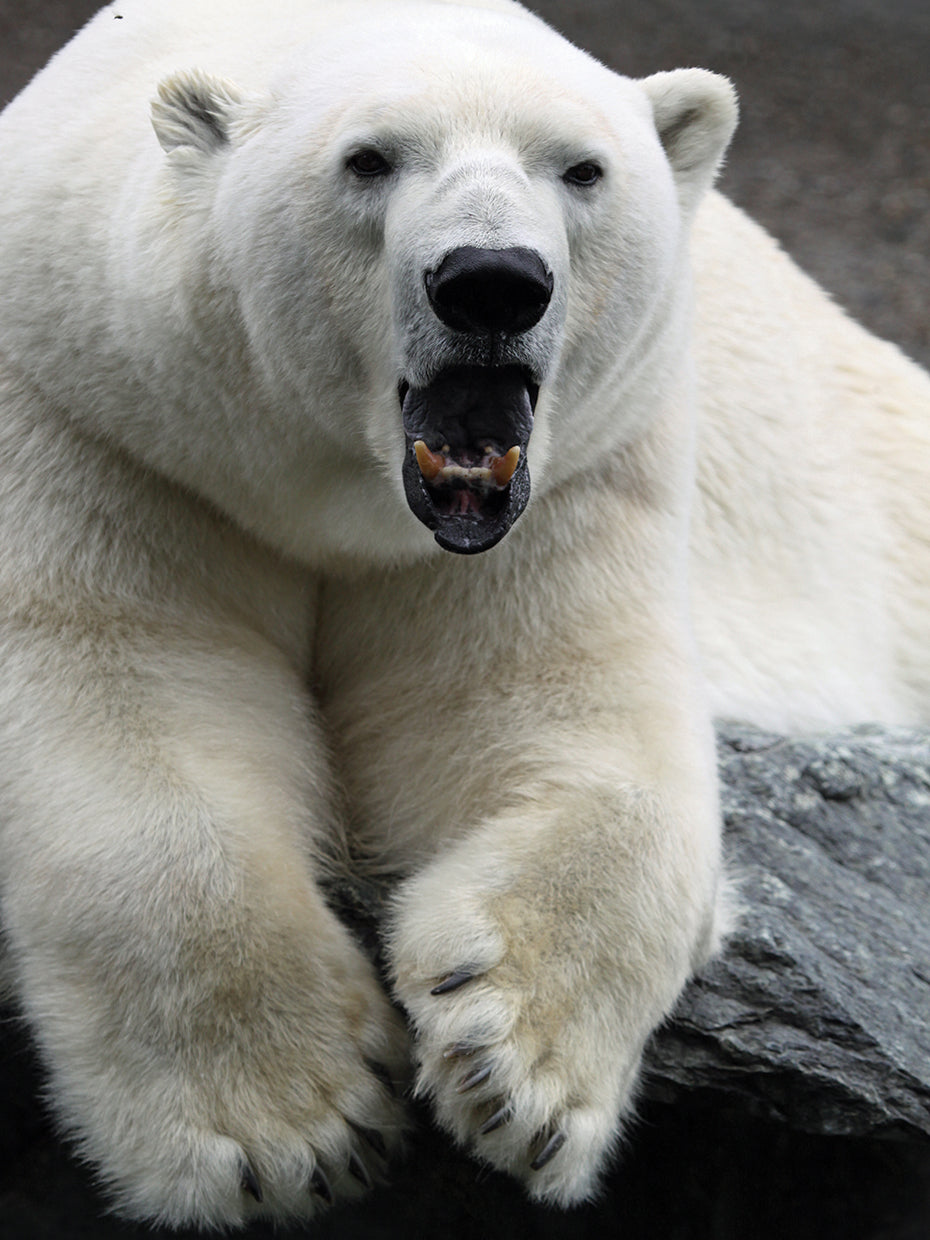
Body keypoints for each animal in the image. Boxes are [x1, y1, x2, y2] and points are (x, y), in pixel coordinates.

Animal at [0, 0, 928, 1227]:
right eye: (368, 159)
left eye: (581, 169)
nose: (492, 281)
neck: (348, 501)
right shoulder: (97, 414)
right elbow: (120, 685)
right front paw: (291, 1131)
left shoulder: (586, 471)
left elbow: (562, 717)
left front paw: (513, 1067)